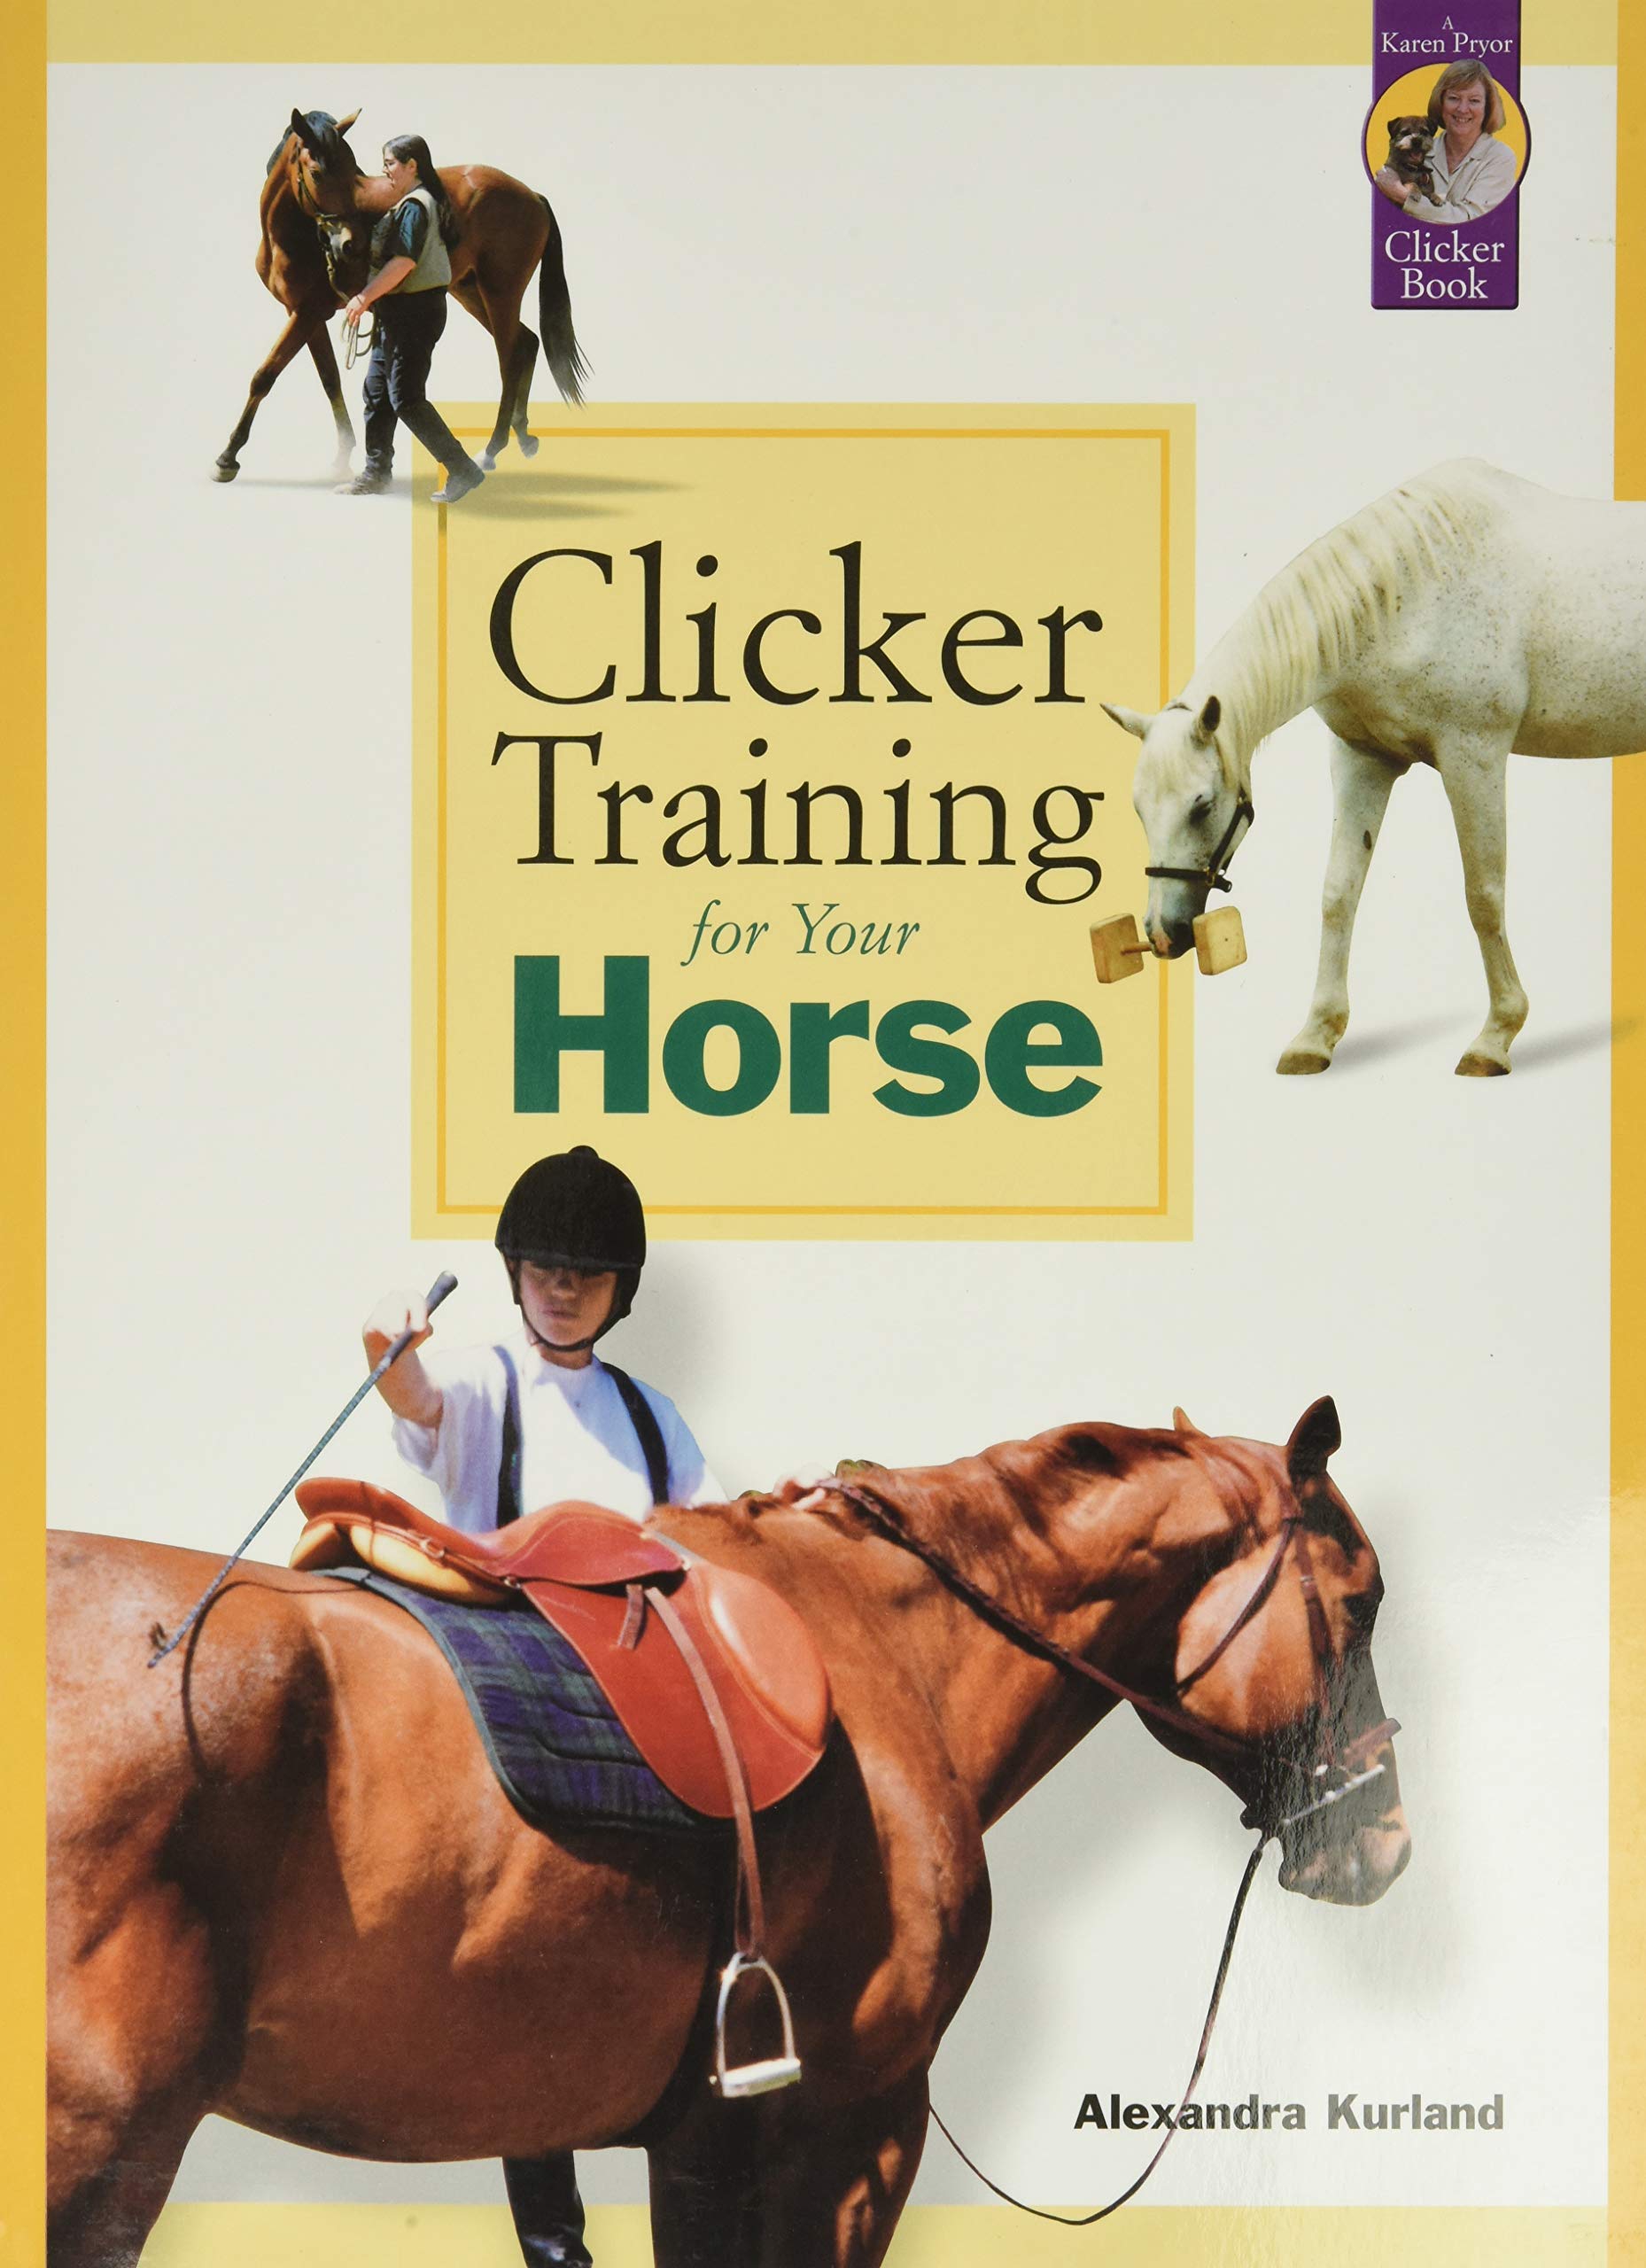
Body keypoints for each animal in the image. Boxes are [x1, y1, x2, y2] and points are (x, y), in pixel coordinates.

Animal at [213, 110, 586, 485]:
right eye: (317, 172)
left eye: (352, 170)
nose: (350, 244)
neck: (293, 237)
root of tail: (532, 195)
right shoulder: (306, 314)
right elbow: (330, 379)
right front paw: (342, 457)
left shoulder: (308, 312)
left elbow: (265, 375)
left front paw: (228, 457)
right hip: (471, 291)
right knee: (527, 343)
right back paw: (522, 436)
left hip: (501, 293)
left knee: (509, 359)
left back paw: (491, 450)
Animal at [1103, 459, 1646, 1076]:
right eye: (1140, 810)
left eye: (1202, 805)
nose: (1161, 935)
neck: (1403, 593)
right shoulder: (1364, 760)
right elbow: (1339, 893)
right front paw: (1316, 1034)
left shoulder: (1474, 755)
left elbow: (1483, 894)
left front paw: (1496, 1036)